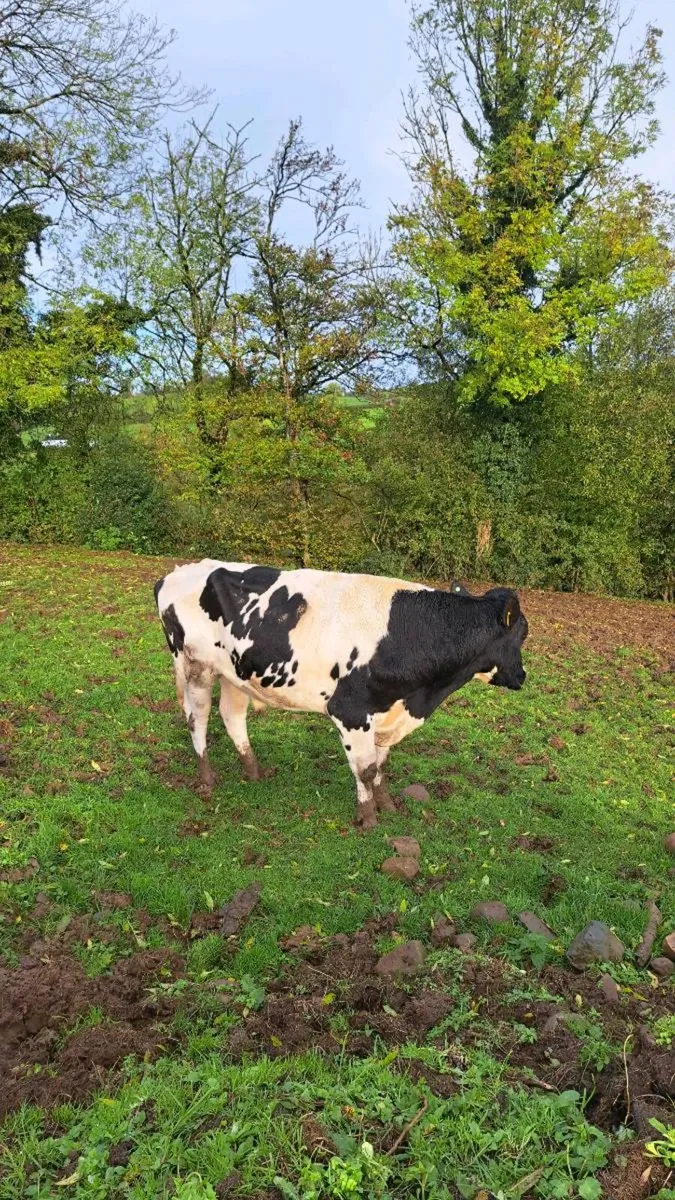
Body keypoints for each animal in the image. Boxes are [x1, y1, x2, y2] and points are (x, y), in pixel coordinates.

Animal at [154, 561, 528, 829]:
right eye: (522, 634)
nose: (522, 677)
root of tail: (177, 572)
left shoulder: (388, 712)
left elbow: (380, 765)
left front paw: (388, 805)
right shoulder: (350, 710)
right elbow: (364, 770)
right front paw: (369, 818)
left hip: (235, 673)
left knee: (232, 716)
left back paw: (253, 771)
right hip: (195, 666)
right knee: (197, 718)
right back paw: (207, 779)